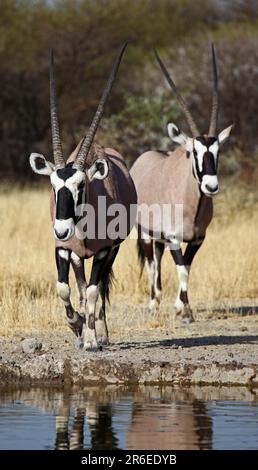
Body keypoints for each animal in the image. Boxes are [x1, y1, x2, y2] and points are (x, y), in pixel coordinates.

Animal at [29, 46, 137, 350]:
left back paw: (101, 332)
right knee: (79, 283)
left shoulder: (103, 251)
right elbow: (64, 288)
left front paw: (91, 339)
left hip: (114, 250)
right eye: (53, 186)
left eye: (81, 185)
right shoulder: (62, 249)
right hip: (77, 255)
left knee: (97, 287)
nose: (62, 229)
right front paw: (76, 325)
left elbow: (92, 290)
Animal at [130, 44, 233, 324]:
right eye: (194, 152)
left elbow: (186, 266)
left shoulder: (197, 238)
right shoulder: (175, 238)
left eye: (218, 152)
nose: (211, 187)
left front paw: (180, 305)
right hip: (145, 232)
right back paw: (153, 304)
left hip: (159, 238)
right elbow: (181, 269)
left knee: (157, 259)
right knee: (152, 264)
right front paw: (185, 311)